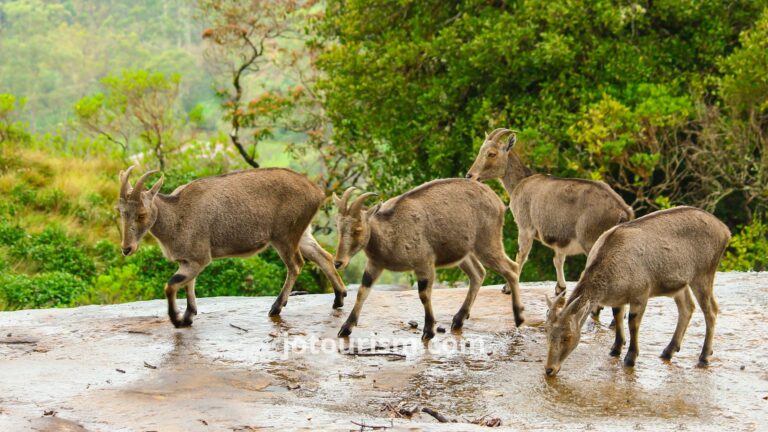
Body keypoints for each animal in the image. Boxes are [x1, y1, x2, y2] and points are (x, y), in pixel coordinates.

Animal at [118, 165, 346, 328]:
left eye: (141, 214)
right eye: (121, 212)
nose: (126, 248)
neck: (176, 215)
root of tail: (317, 193)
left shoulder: (200, 257)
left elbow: (171, 285)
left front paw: (177, 319)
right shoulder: (189, 260)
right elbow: (189, 284)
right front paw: (189, 315)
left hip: (284, 235)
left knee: (296, 264)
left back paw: (276, 307)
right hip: (302, 233)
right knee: (323, 256)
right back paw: (339, 298)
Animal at [332, 179, 524, 340]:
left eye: (357, 229)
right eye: (338, 227)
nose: (338, 262)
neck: (390, 232)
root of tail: (498, 202)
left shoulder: (424, 263)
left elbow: (424, 294)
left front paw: (429, 330)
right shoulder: (375, 264)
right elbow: (362, 291)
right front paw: (345, 328)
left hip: (487, 242)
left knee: (511, 268)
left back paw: (519, 317)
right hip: (464, 253)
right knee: (478, 274)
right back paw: (458, 319)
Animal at [464, 126, 632, 298]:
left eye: (492, 153)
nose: (470, 175)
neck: (520, 182)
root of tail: (622, 211)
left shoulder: (525, 227)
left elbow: (520, 256)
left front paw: (508, 288)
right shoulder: (560, 238)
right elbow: (558, 259)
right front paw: (560, 288)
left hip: (591, 241)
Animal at [544, 205, 728, 374]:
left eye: (567, 337)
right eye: (547, 333)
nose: (549, 369)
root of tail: (725, 231)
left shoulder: (641, 293)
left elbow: (633, 322)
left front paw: (630, 358)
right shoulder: (618, 297)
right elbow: (617, 316)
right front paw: (615, 349)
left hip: (704, 273)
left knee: (711, 310)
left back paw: (704, 357)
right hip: (681, 283)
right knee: (687, 307)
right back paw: (668, 351)